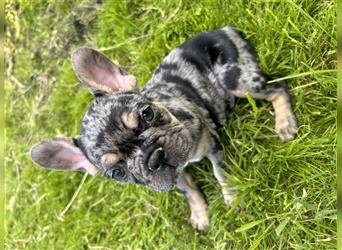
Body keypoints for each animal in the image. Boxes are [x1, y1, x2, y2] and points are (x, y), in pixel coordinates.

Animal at [30, 25, 296, 230]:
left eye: (147, 114)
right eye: (117, 172)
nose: (152, 156)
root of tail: (222, 30)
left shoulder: (212, 144)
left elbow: (221, 173)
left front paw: (232, 198)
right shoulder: (172, 174)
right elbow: (188, 189)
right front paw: (199, 214)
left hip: (236, 80)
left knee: (278, 88)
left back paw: (284, 123)